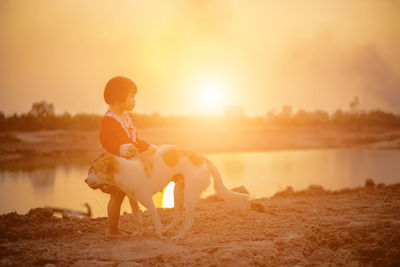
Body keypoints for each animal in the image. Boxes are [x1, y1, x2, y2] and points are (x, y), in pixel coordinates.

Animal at [85, 146, 248, 240]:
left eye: (95, 170)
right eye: (91, 169)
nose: (85, 180)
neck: (126, 171)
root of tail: (204, 159)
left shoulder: (149, 203)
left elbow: (155, 220)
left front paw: (158, 235)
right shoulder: (133, 201)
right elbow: (138, 220)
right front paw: (139, 233)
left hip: (189, 194)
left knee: (189, 220)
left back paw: (178, 236)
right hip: (178, 192)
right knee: (178, 216)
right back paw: (167, 230)